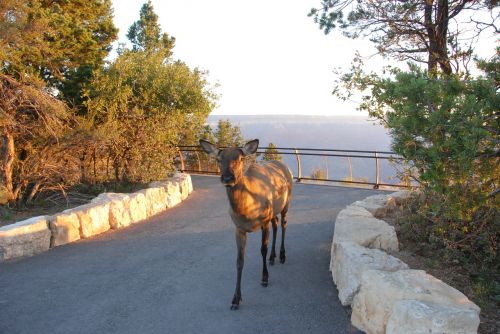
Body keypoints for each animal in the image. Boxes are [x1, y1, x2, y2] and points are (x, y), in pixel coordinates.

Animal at [199, 139, 292, 310]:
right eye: (219, 159)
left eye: (241, 159)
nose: (228, 178)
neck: (247, 211)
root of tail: (285, 166)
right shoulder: (239, 229)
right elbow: (239, 261)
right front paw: (236, 298)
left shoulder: (264, 222)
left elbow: (262, 250)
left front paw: (264, 278)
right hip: (273, 210)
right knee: (276, 224)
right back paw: (273, 257)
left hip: (286, 203)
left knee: (283, 224)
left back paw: (282, 255)